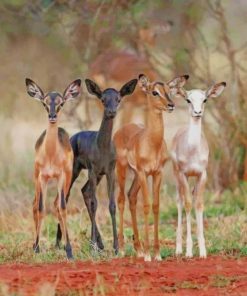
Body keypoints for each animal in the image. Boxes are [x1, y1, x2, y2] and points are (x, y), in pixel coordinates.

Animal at [54, 77, 138, 253]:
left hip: (96, 176)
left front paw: (115, 246)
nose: (111, 112)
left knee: (84, 191)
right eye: (103, 99)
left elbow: (111, 205)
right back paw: (60, 244)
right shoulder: (92, 171)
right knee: (64, 197)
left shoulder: (109, 172)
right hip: (73, 171)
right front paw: (92, 245)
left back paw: (99, 244)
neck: (102, 148)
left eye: (118, 99)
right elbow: (95, 204)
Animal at [114, 74, 189, 262]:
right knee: (121, 200)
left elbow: (155, 206)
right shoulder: (143, 172)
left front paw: (156, 253)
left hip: (136, 176)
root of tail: (122, 129)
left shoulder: (157, 173)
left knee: (131, 196)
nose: (170, 105)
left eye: (169, 91)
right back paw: (122, 249)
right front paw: (149, 255)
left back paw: (138, 249)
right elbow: (146, 206)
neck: (151, 142)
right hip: (123, 170)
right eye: (154, 92)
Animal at [171, 80, 227, 256]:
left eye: (205, 99)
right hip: (177, 177)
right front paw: (189, 250)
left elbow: (199, 204)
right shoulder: (183, 174)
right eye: (188, 100)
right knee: (180, 201)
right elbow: (188, 204)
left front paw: (202, 251)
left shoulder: (202, 175)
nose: (197, 112)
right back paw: (178, 249)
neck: (193, 151)